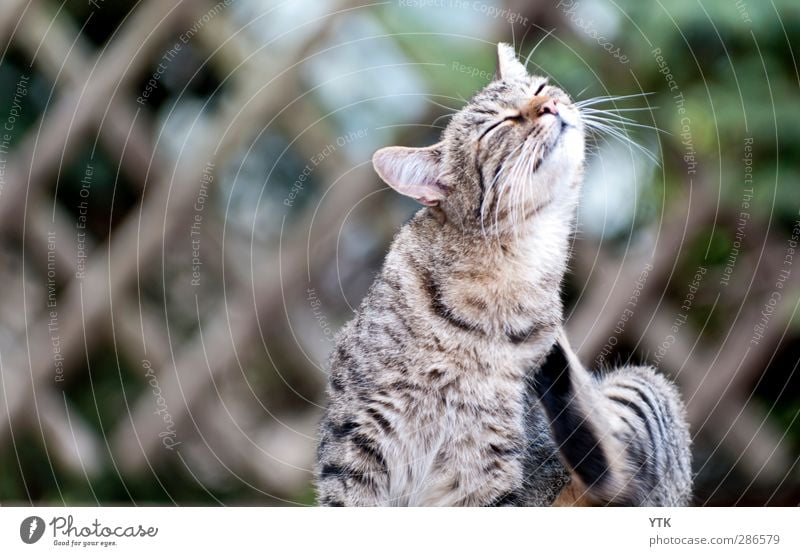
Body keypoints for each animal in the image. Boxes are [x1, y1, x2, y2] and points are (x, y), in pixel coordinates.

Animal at [316, 41, 692, 506]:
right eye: (500, 123)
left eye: (540, 88)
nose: (549, 105)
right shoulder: (356, 438)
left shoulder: (489, 459)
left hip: (646, 389)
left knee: (616, 471)